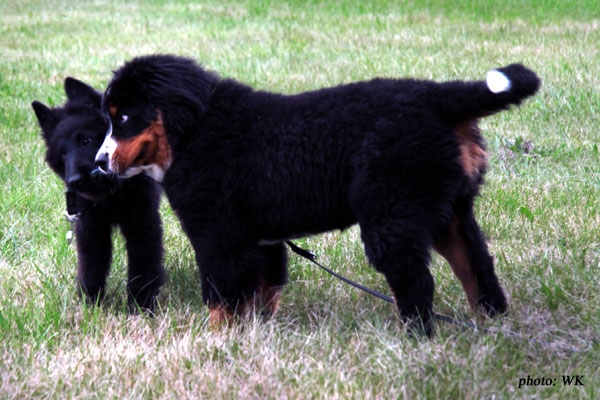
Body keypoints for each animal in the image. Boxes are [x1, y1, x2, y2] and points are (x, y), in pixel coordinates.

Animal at [32, 77, 165, 313]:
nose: (74, 181)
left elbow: (142, 265)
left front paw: (141, 306)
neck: (112, 193)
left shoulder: (142, 222)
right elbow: (91, 267)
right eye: (63, 153)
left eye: (85, 141)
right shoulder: (90, 226)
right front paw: (91, 305)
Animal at [95, 54, 540, 335]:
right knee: (478, 269)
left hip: (392, 214)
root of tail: (439, 98)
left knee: (415, 283)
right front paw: (255, 335)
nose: (99, 162)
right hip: (451, 213)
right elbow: (263, 289)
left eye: (124, 117)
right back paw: (494, 326)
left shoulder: (217, 235)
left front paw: (215, 341)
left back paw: (415, 341)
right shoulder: (261, 238)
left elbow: (222, 293)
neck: (194, 131)